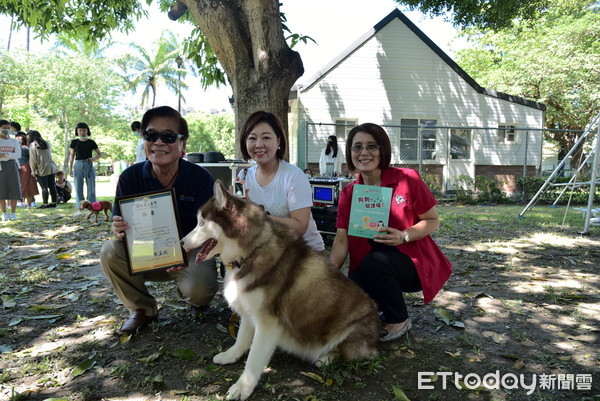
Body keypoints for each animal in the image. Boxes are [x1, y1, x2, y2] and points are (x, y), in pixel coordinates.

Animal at [179, 180, 380, 396]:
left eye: (201, 223)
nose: (181, 242)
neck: (250, 252)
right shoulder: (249, 311)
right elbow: (241, 339)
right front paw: (230, 355)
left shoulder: (268, 323)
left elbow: (254, 359)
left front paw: (243, 387)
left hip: (352, 331)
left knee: (353, 352)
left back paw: (326, 357)